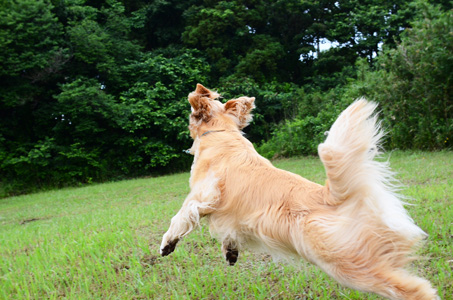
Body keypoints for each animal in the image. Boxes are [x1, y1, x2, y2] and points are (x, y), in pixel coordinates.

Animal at [160, 84, 438, 300]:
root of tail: (331, 196)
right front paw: (230, 252)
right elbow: (228, 234)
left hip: (347, 264)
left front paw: (167, 245)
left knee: (414, 290)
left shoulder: (203, 196)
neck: (222, 134)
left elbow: (181, 216)